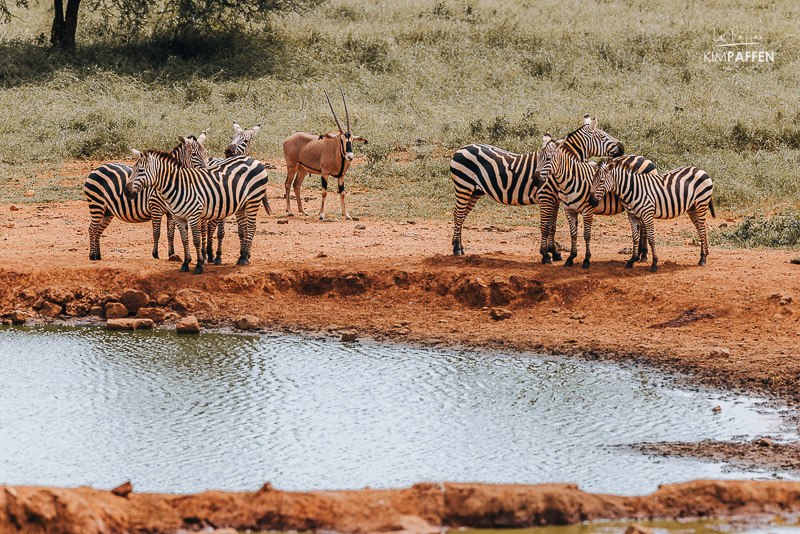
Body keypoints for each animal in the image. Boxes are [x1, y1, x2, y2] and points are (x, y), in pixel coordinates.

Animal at [124, 149, 270, 274]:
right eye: (133, 170)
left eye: (141, 170)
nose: (126, 192)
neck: (178, 186)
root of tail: (252, 159)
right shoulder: (178, 216)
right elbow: (185, 240)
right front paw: (186, 263)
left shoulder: (193, 215)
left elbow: (196, 241)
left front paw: (199, 265)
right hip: (241, 205)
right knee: (244, 228)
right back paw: (243, 256)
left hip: (254, 200)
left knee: (251, 227)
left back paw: (244, 258)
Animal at [450, 115, 624, 263]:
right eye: (603, 136)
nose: (622, 147)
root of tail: (460, 149)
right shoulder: (546, 196)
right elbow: (545, 226)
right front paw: (546, 255)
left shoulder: (555, 199)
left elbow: (552, 227)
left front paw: (555, 253)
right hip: (464, 187)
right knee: (458, 214)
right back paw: (457, 248)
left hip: (474, 191)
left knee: (462, 215)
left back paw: (460, 246)